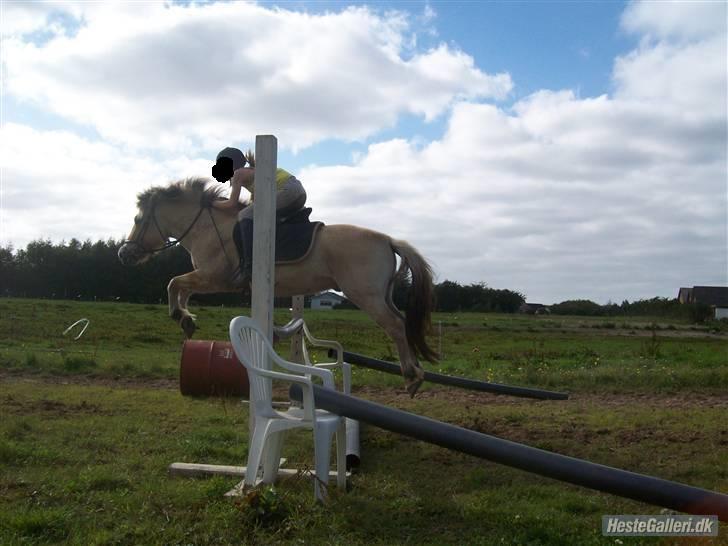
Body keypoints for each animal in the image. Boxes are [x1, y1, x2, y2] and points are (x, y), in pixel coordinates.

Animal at [119, 178, 438, 396]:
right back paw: (417, 372)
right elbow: (181, 289)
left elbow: (174, 283)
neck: (208, 228)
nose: (124, 254)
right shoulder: (208, 278)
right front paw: (186, 319)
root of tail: (388, 239)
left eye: (138, 219)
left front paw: (181, 317)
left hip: (365, 295)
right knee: (402, 322)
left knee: (395, 326)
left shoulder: (215, 277)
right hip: (382, 295)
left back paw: (411, 377)